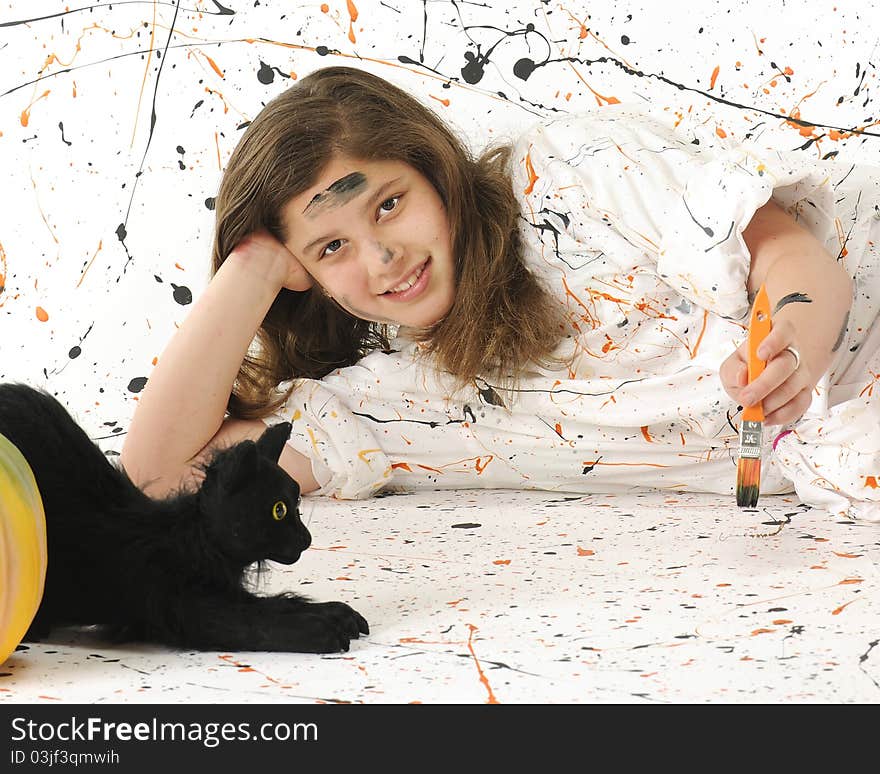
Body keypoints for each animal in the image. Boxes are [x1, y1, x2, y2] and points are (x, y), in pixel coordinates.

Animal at [0, 384, 370, 652]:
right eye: (278, 510)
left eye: (296, 503)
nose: (306, 539)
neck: (193, 542)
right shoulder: (179, 607)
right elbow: (253, 622)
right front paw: (318, 629)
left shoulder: (222, 589)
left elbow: (277, 603)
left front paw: (335, 612)